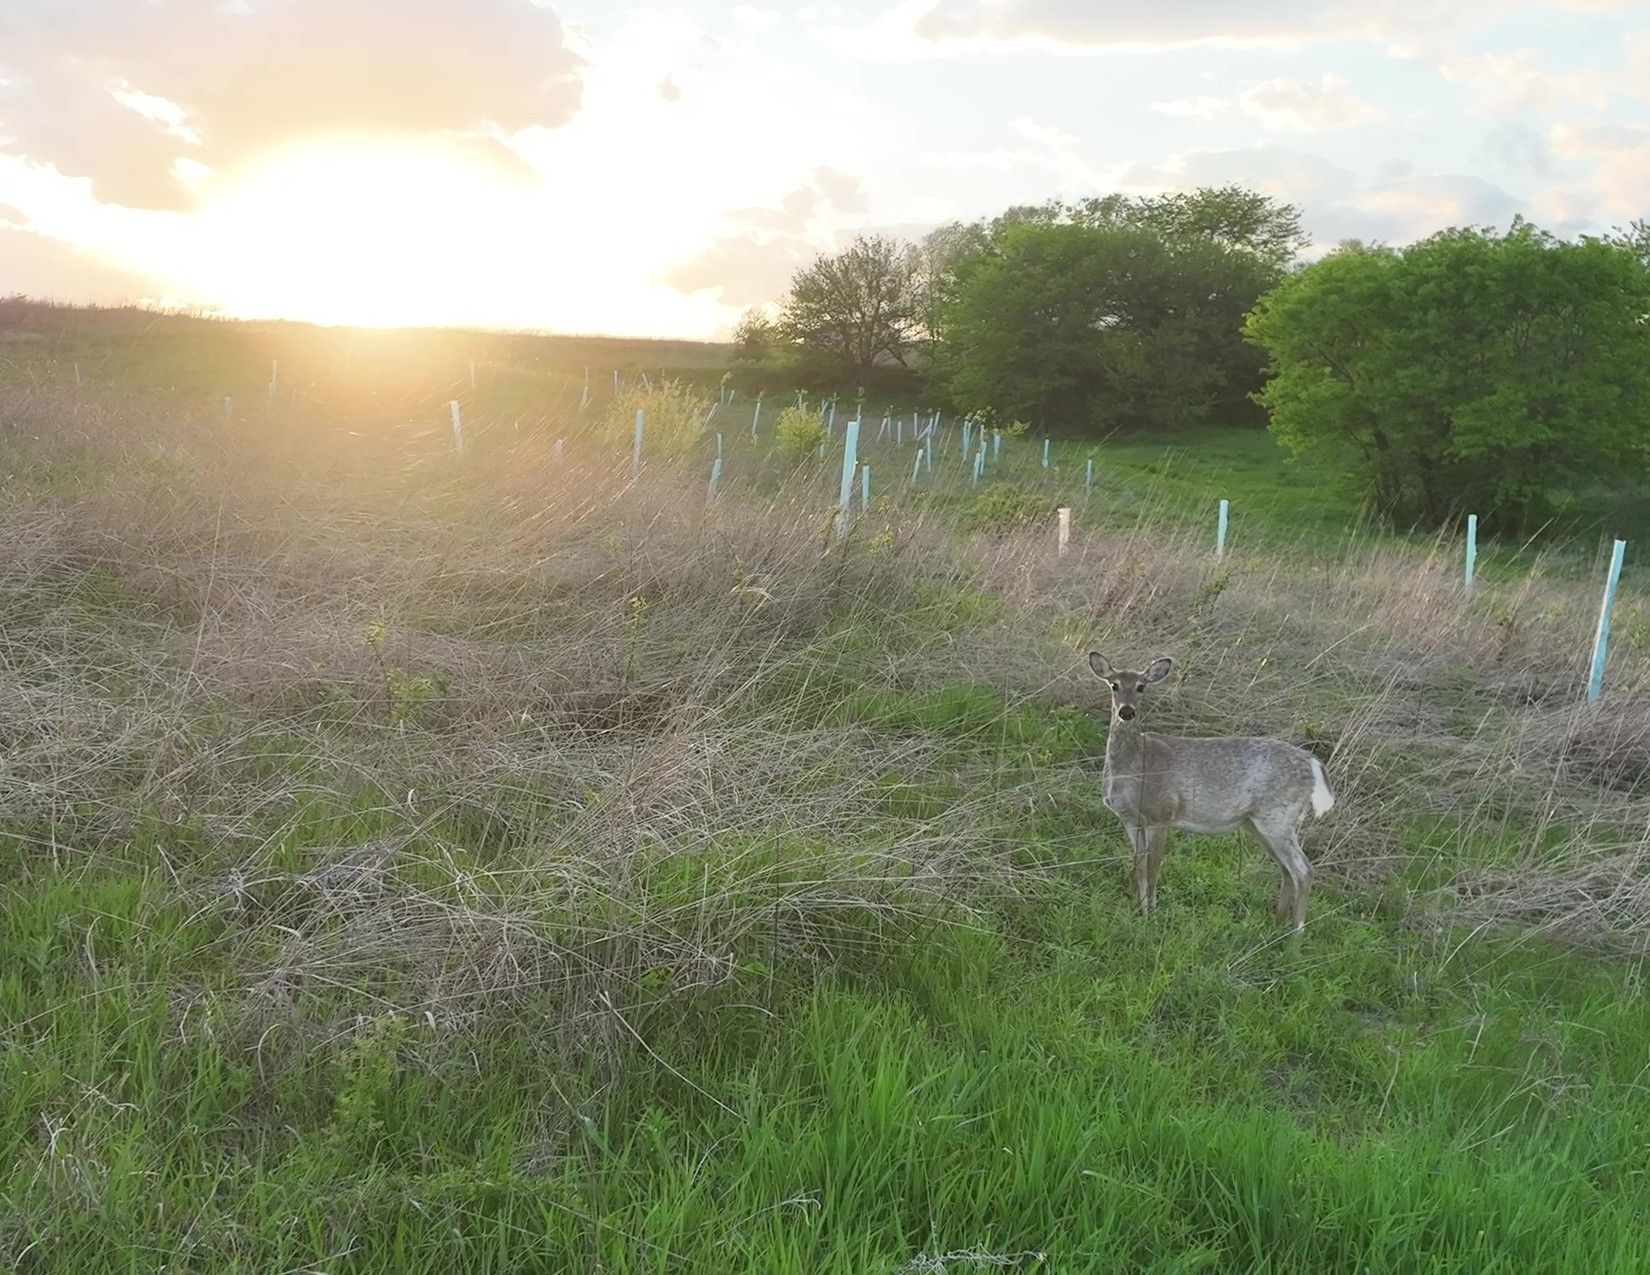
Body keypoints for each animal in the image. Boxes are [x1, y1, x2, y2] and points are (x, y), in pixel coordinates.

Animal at [1087, 653, 1334, 934]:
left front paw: (1153, 920)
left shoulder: (1161, 814)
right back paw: (1277, 923)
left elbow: (1152, 871)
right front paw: (1140, 914)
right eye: (1114, 684)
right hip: (1257, 824)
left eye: (1141, 686)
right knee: (1286, 869)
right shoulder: (1130, 820)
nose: (1126, 712)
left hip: (1279, 817)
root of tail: (1313, 763)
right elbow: (1138, 869)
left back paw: (1295, 935)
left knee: (1303, 870)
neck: (1136, 765)